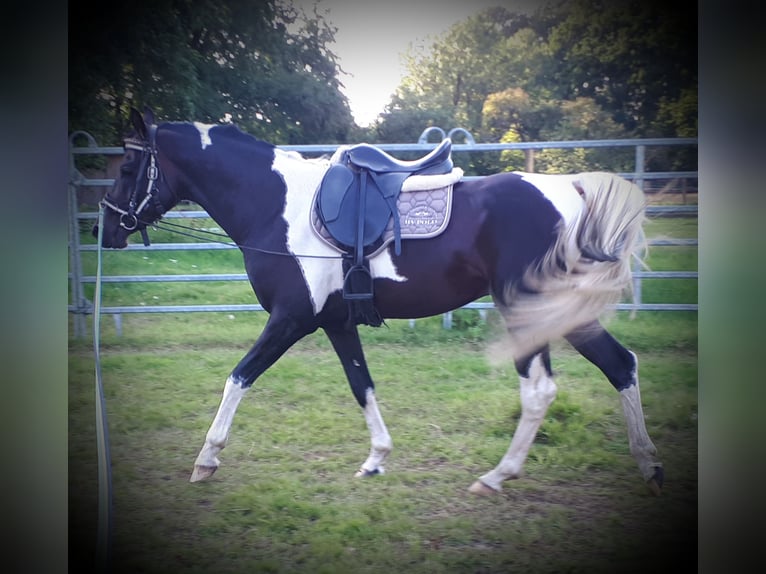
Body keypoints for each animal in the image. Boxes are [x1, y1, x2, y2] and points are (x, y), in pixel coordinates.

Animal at [94, 107, 663, 496]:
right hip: (556, 313)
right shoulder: (335, 323)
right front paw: (376, 458)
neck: (277, 206)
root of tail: (571, 191)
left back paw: (498, 476)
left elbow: (238, 376)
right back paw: (647, 464)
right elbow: (361, 385)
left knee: (543, 390)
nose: (106, 230)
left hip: (529, 309)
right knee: (620, 365)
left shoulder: (291, 319)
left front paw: (207, 458)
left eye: (125, 167)